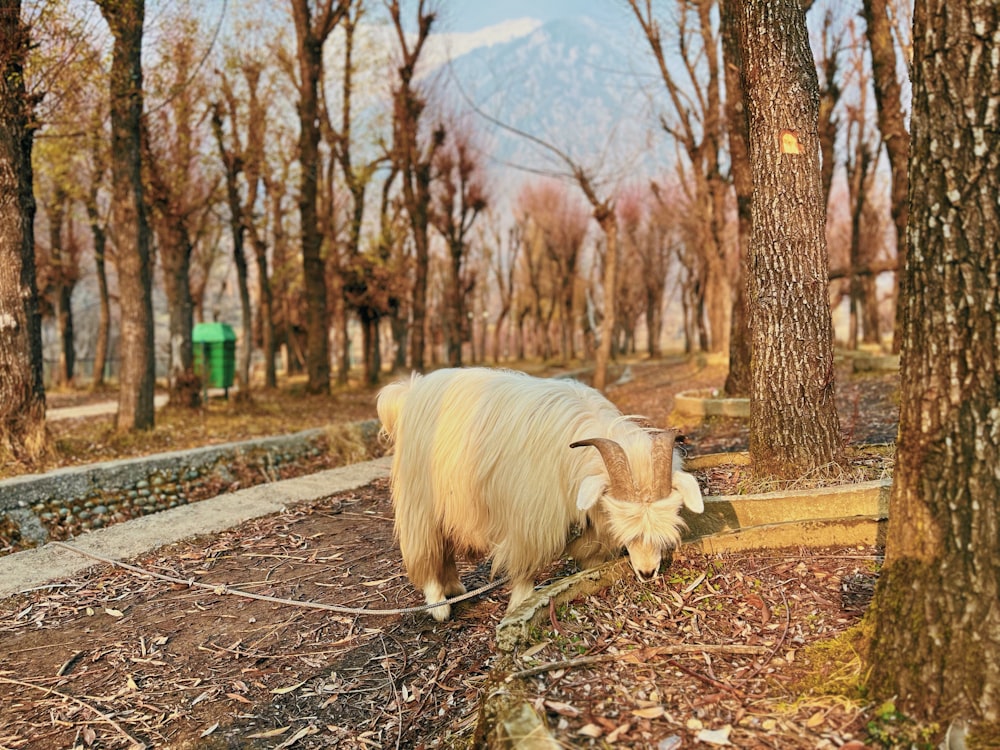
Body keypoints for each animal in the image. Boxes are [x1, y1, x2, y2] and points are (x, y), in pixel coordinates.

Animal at [376, 368, 704, 624]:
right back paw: (439, 606)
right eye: (628, 528)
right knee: (425, 544)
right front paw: (518, 607)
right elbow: (526, 570)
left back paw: (455, 588)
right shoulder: (529, 521)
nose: (648, 573)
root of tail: (410, 390)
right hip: (420, 497)